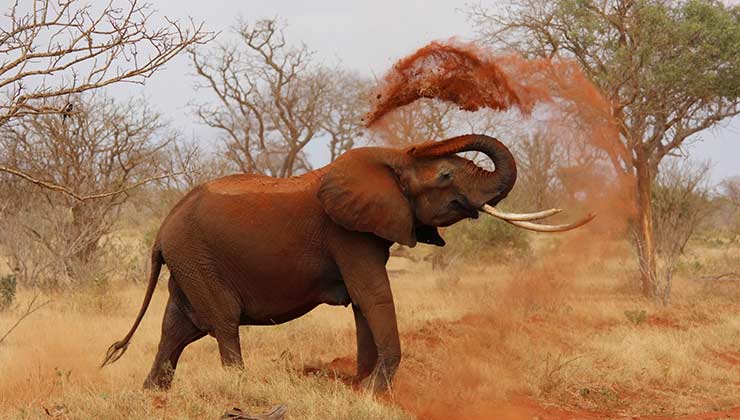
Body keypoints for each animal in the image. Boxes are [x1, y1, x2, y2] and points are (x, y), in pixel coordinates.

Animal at [101, 135, 592, 394]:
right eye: (447, 176)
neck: (392, 160)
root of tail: (162, 229)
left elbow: (363, 303)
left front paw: (362, 387)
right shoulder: (347, 234)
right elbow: (372, 295)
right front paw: (376, 392)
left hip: (188, 262)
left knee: (177, 328)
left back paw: (153, 395)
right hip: (198, 258)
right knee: (221, 323)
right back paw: (241, 389)